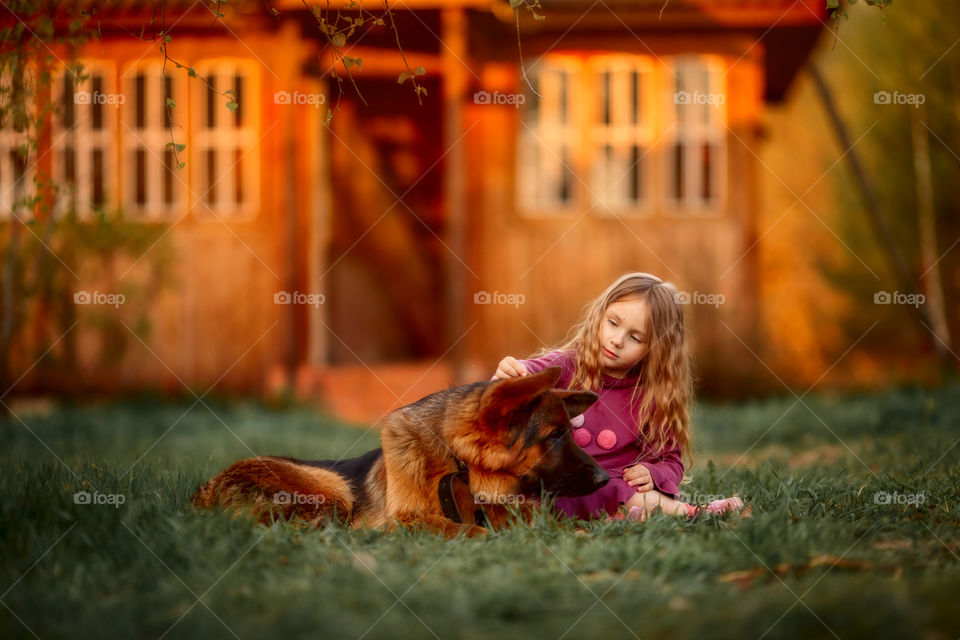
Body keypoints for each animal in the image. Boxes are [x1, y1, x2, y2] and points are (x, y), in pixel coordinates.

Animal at [190, 364, 608, 536]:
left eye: (569, 432)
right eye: (554, 435)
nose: (606, 478)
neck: (457, 465)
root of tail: (204, 490)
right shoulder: (405, 520)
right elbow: (467, 530)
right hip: (333, 487)